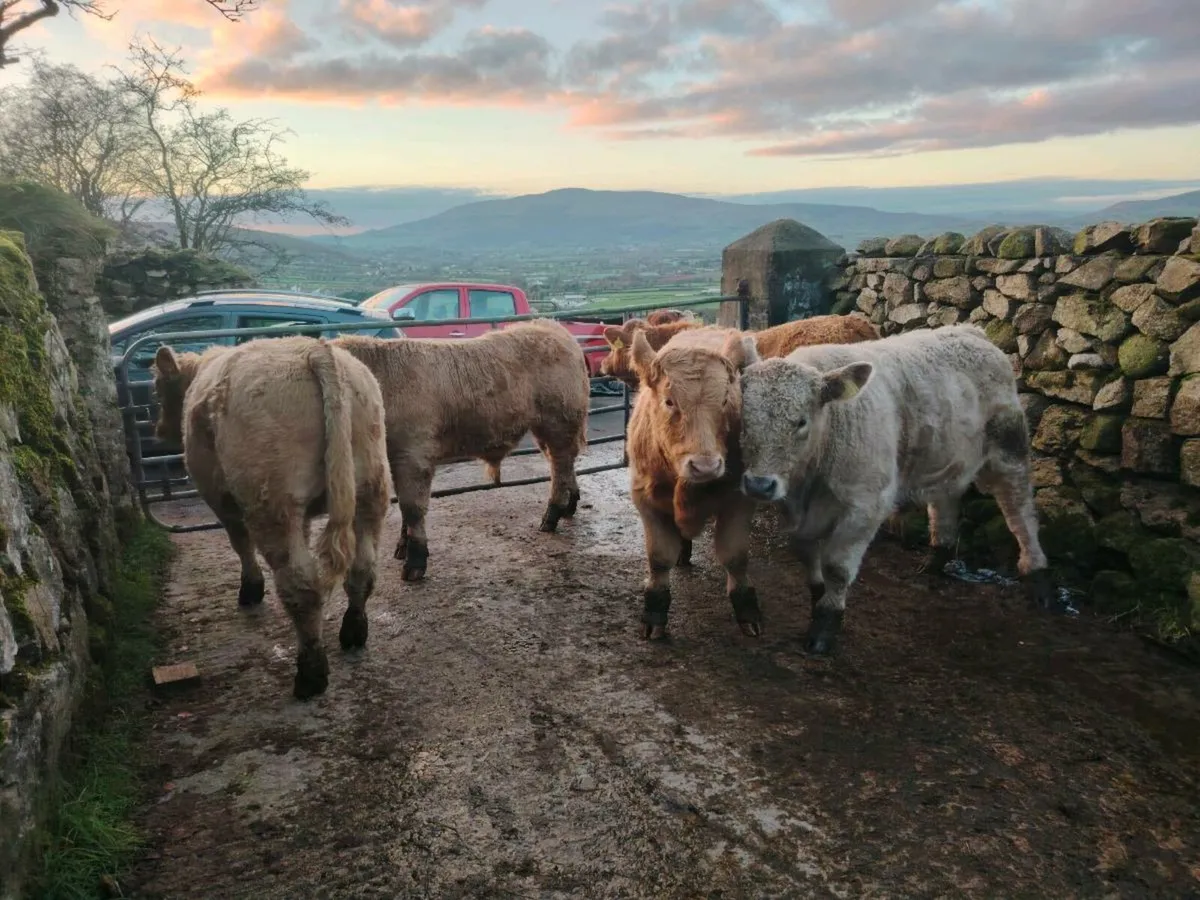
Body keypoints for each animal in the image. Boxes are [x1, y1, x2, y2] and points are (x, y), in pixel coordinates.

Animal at [152, 336, 392, 700]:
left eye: (158, 389)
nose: (159, 430)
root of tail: (314, 349)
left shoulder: (221, 501)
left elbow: (239, 543)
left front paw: (250, 589)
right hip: (370, 487)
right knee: (362, 568)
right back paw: (353, 630)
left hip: (272, 503)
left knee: (301, 585)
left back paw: (311, 674)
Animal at [332, 318, 590, 582]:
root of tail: (552, 326)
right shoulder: (396, 456)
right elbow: (405, 507)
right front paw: (402, 548)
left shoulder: (414, 454)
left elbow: (413, 507)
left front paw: (415, 562)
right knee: (563, 464)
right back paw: (569, 506)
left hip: (559, 422)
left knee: (559, 466)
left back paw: (551, 517)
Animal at [625, 325, 761, 640]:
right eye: (669, 401)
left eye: (725, 401)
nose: (705, 466)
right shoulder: (645, 500)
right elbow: (659, 558)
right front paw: (655, 611)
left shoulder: (739, 500)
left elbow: (735, 557)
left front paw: (747, 609)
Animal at [737, 323, 1054, 656]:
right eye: (744, 418)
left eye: (800, 421)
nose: (759, 484)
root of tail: (970, 331)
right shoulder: (795, 511)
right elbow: (806, 554)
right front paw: (818, 599)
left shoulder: (867, 504)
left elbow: (836, 567)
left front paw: (826, 623)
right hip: (946, 456)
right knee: (945, 503)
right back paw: (935, 559)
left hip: (1009, 451)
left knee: (1020, 513)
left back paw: (1038, 578)